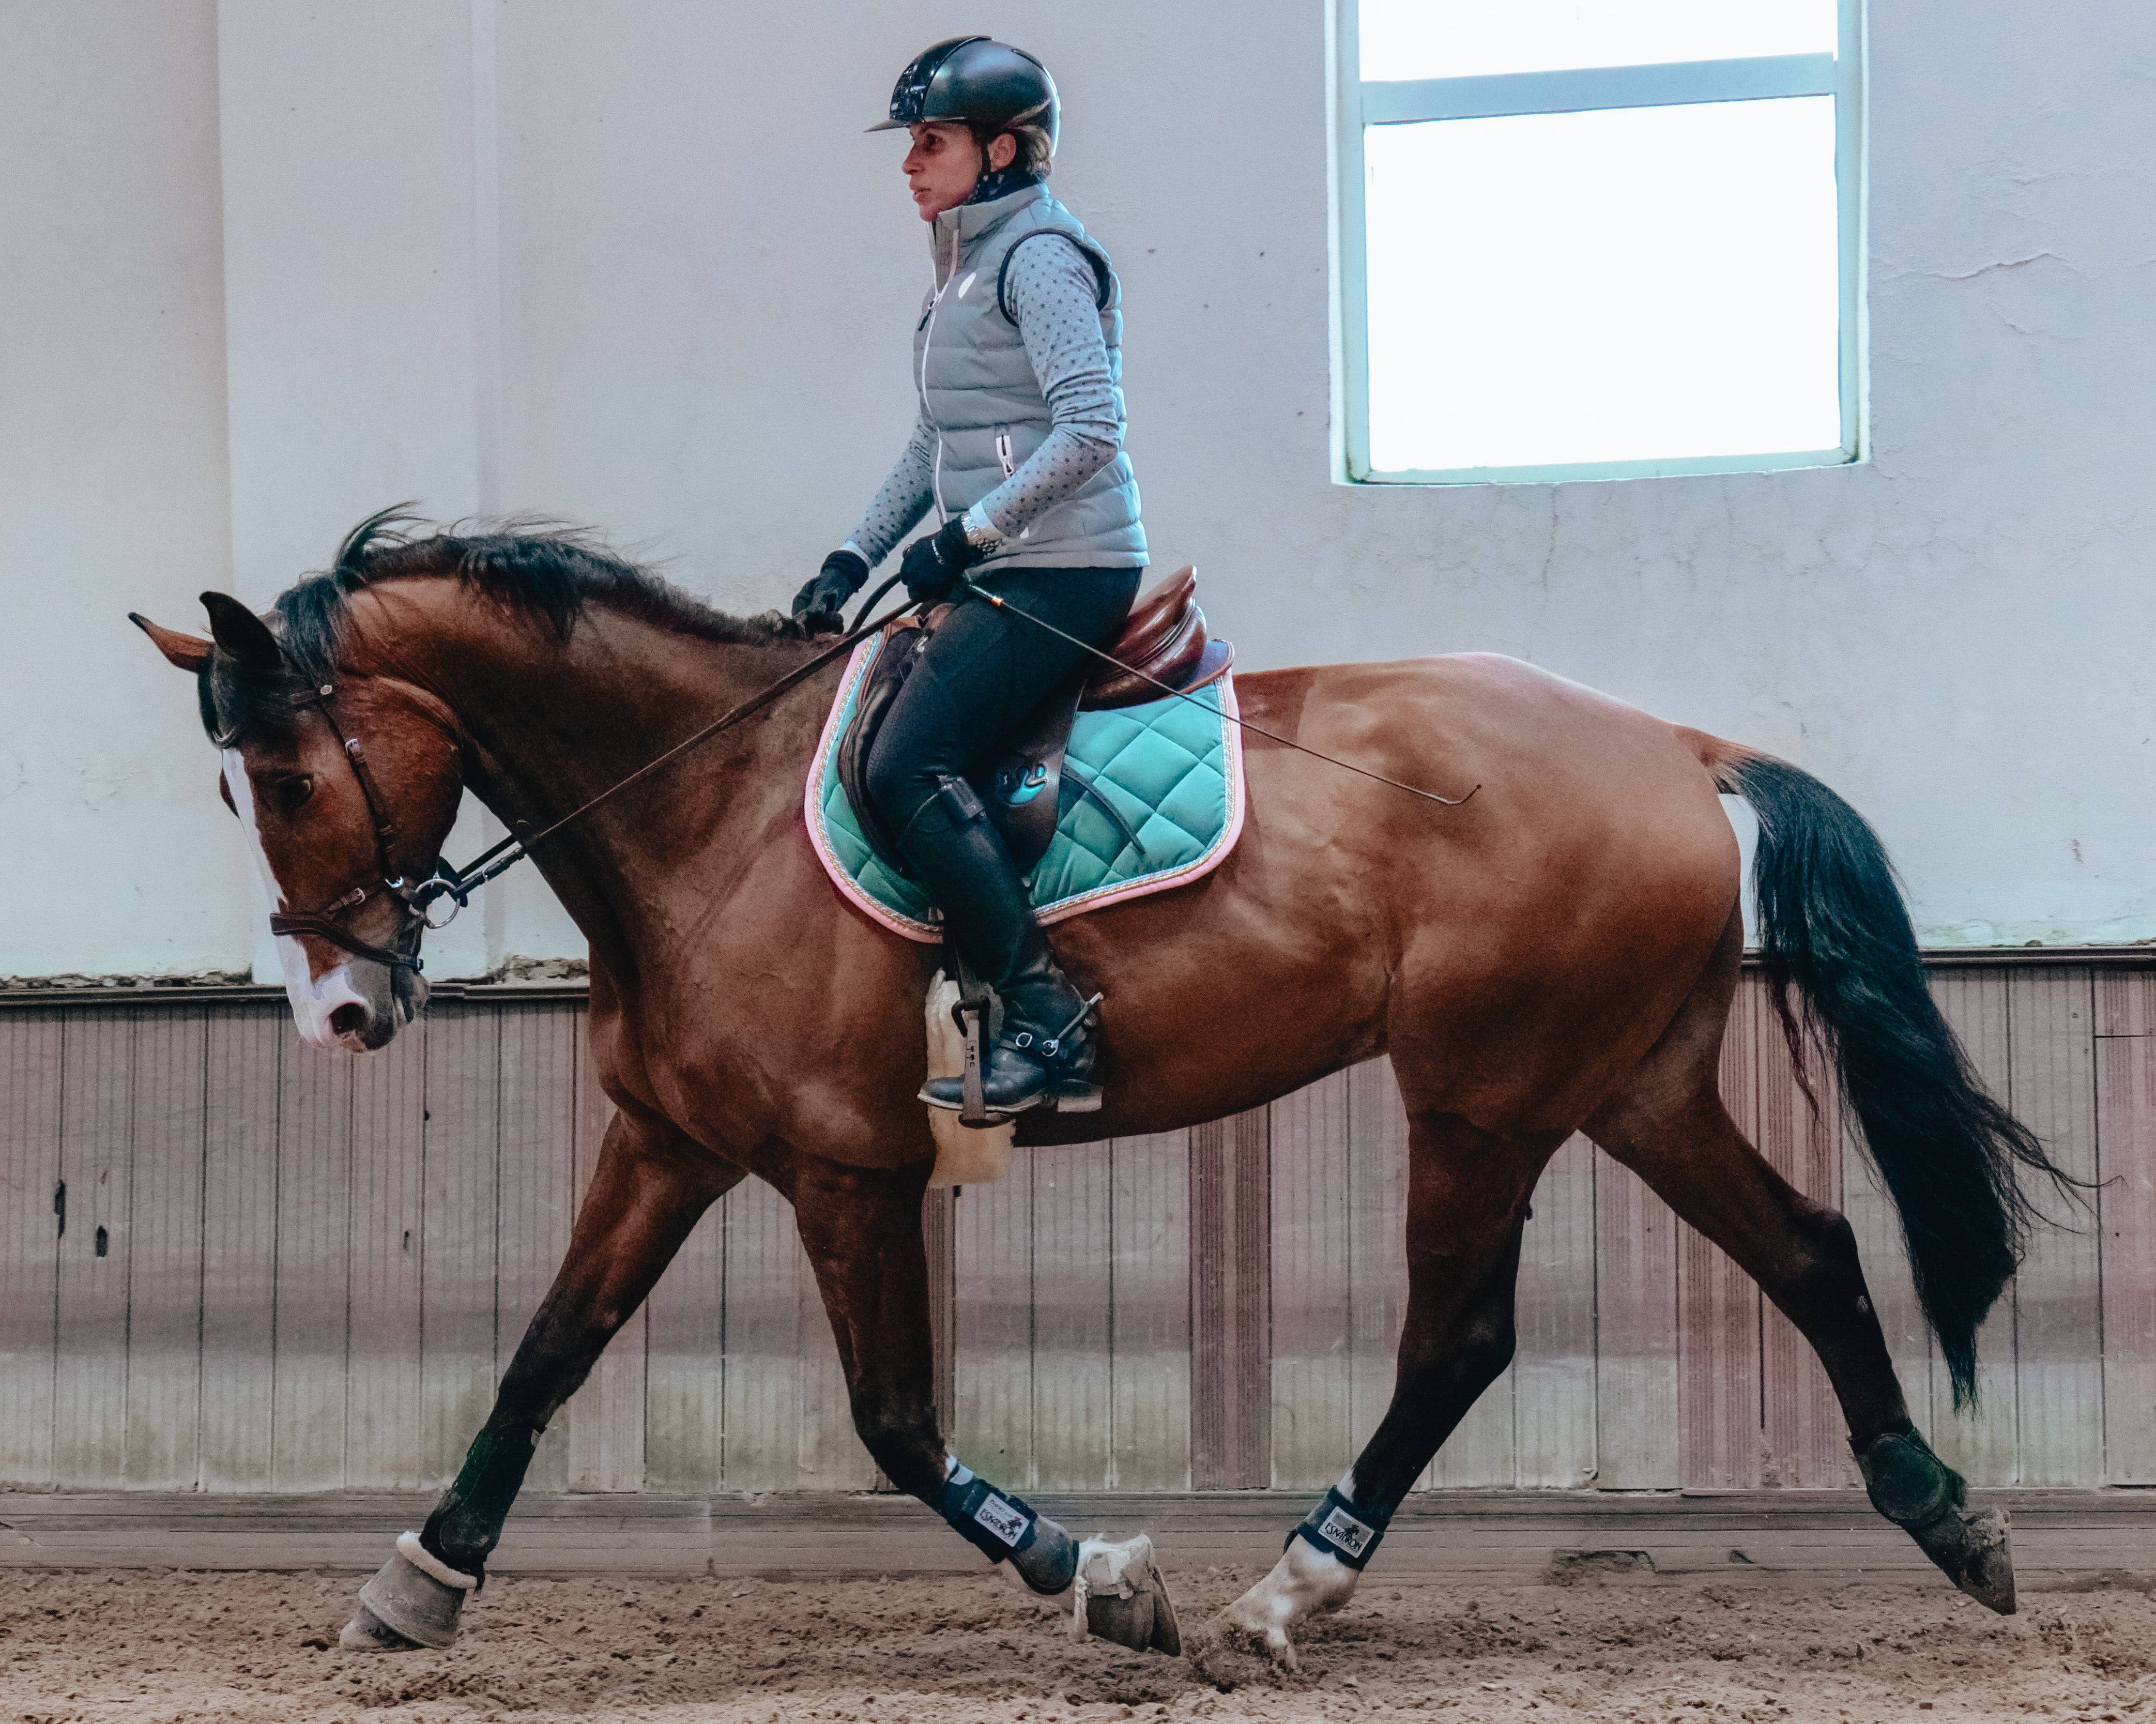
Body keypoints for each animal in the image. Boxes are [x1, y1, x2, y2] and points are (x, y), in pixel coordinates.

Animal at [132, 511, 2067, 1668]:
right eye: (234, 789)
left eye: (283, 774)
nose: (338, 1010)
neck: (703, 813)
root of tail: (1670, 742)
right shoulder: (670, 1139)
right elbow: (544, 1351)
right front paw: (420, 1575)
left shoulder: (843, 1170)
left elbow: (893, 1422)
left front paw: (1103, 1578)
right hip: (1625, 1080)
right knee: (1811, 1247)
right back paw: (1947, 1518)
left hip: (1485, 1097)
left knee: (1459, 1339)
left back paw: (1287, 1588)